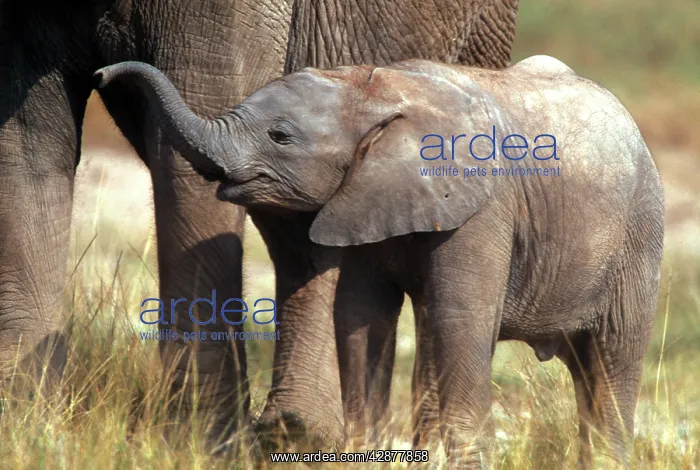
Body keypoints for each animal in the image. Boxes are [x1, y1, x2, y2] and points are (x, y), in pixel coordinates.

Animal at [0, 0, 518, 451]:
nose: (105, 72)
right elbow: (24, 146)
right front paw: (28, 431)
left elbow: (187, 138)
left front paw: (200, 447)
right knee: (296, 225)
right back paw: (297, 433)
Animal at [94, 55, 665, 467]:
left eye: (281, 136)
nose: (101, 73)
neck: (372, 88)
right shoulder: (359, 196)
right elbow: (361, 316)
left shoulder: (484, 206)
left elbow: (461, 319)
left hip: (638, 235)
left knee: (613, 356)